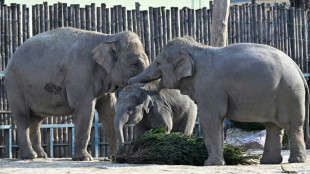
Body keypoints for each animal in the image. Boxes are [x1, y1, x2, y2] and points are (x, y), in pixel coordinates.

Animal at [4, 27, 150, 160]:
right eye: (135, 63)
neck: (107, 37)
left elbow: (108, 110)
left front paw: (113, 157)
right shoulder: (80, 73)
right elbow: (86, 110)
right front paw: (85, 158)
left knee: (36, 119)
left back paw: (41, 156)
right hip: (14, 84)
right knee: (23, 116)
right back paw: (30, 156)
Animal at [128, 37, 310, 166]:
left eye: (158, 62)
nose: (132, 82)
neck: (197, 48)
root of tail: (297, 68)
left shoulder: (209, 87)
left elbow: (210, 118)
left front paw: (210, 164)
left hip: (289, 93)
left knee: (291, 125)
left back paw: (295, 161)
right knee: (273, 126)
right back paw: (268, 162)